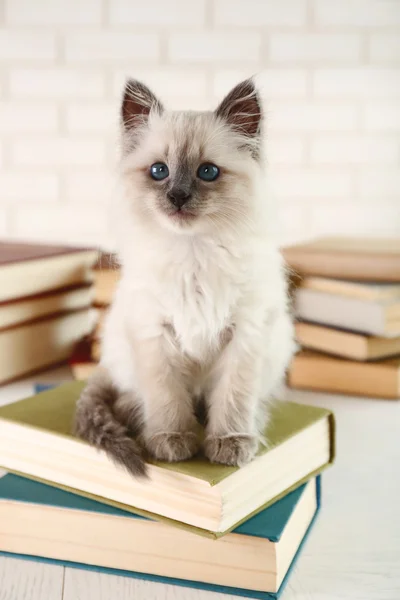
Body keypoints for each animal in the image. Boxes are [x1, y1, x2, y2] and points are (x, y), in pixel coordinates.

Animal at [74, 76, 294, 478]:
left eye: (207, 172)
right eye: (159, 171)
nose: (178, 196)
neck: (193, 252)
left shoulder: (245, 334)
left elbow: (233, 398)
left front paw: (229, 442)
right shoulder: (155, 333)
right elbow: (167, 397)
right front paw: (171, 440)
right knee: (131, 395)